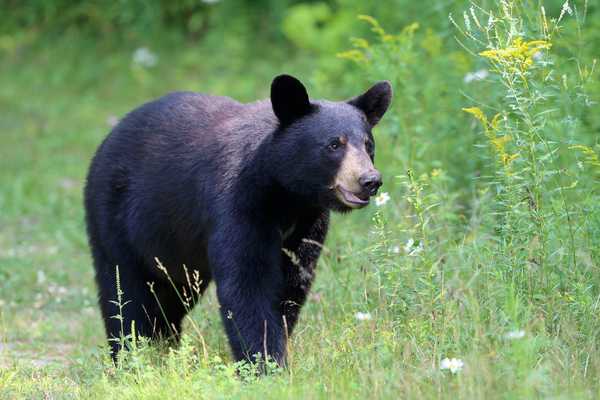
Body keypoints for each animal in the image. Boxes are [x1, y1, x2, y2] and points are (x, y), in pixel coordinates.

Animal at [84, 73, 394, 368]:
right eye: (333, 144)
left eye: (368, 144)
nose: (369, 180)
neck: (285, 193)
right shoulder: (239, 204)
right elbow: (247, 283)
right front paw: (265, 364)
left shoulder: (308, 222)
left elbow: (292, 282)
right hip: (115, 220)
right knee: (125, 295)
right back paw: (130, 357)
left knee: (170, 298)